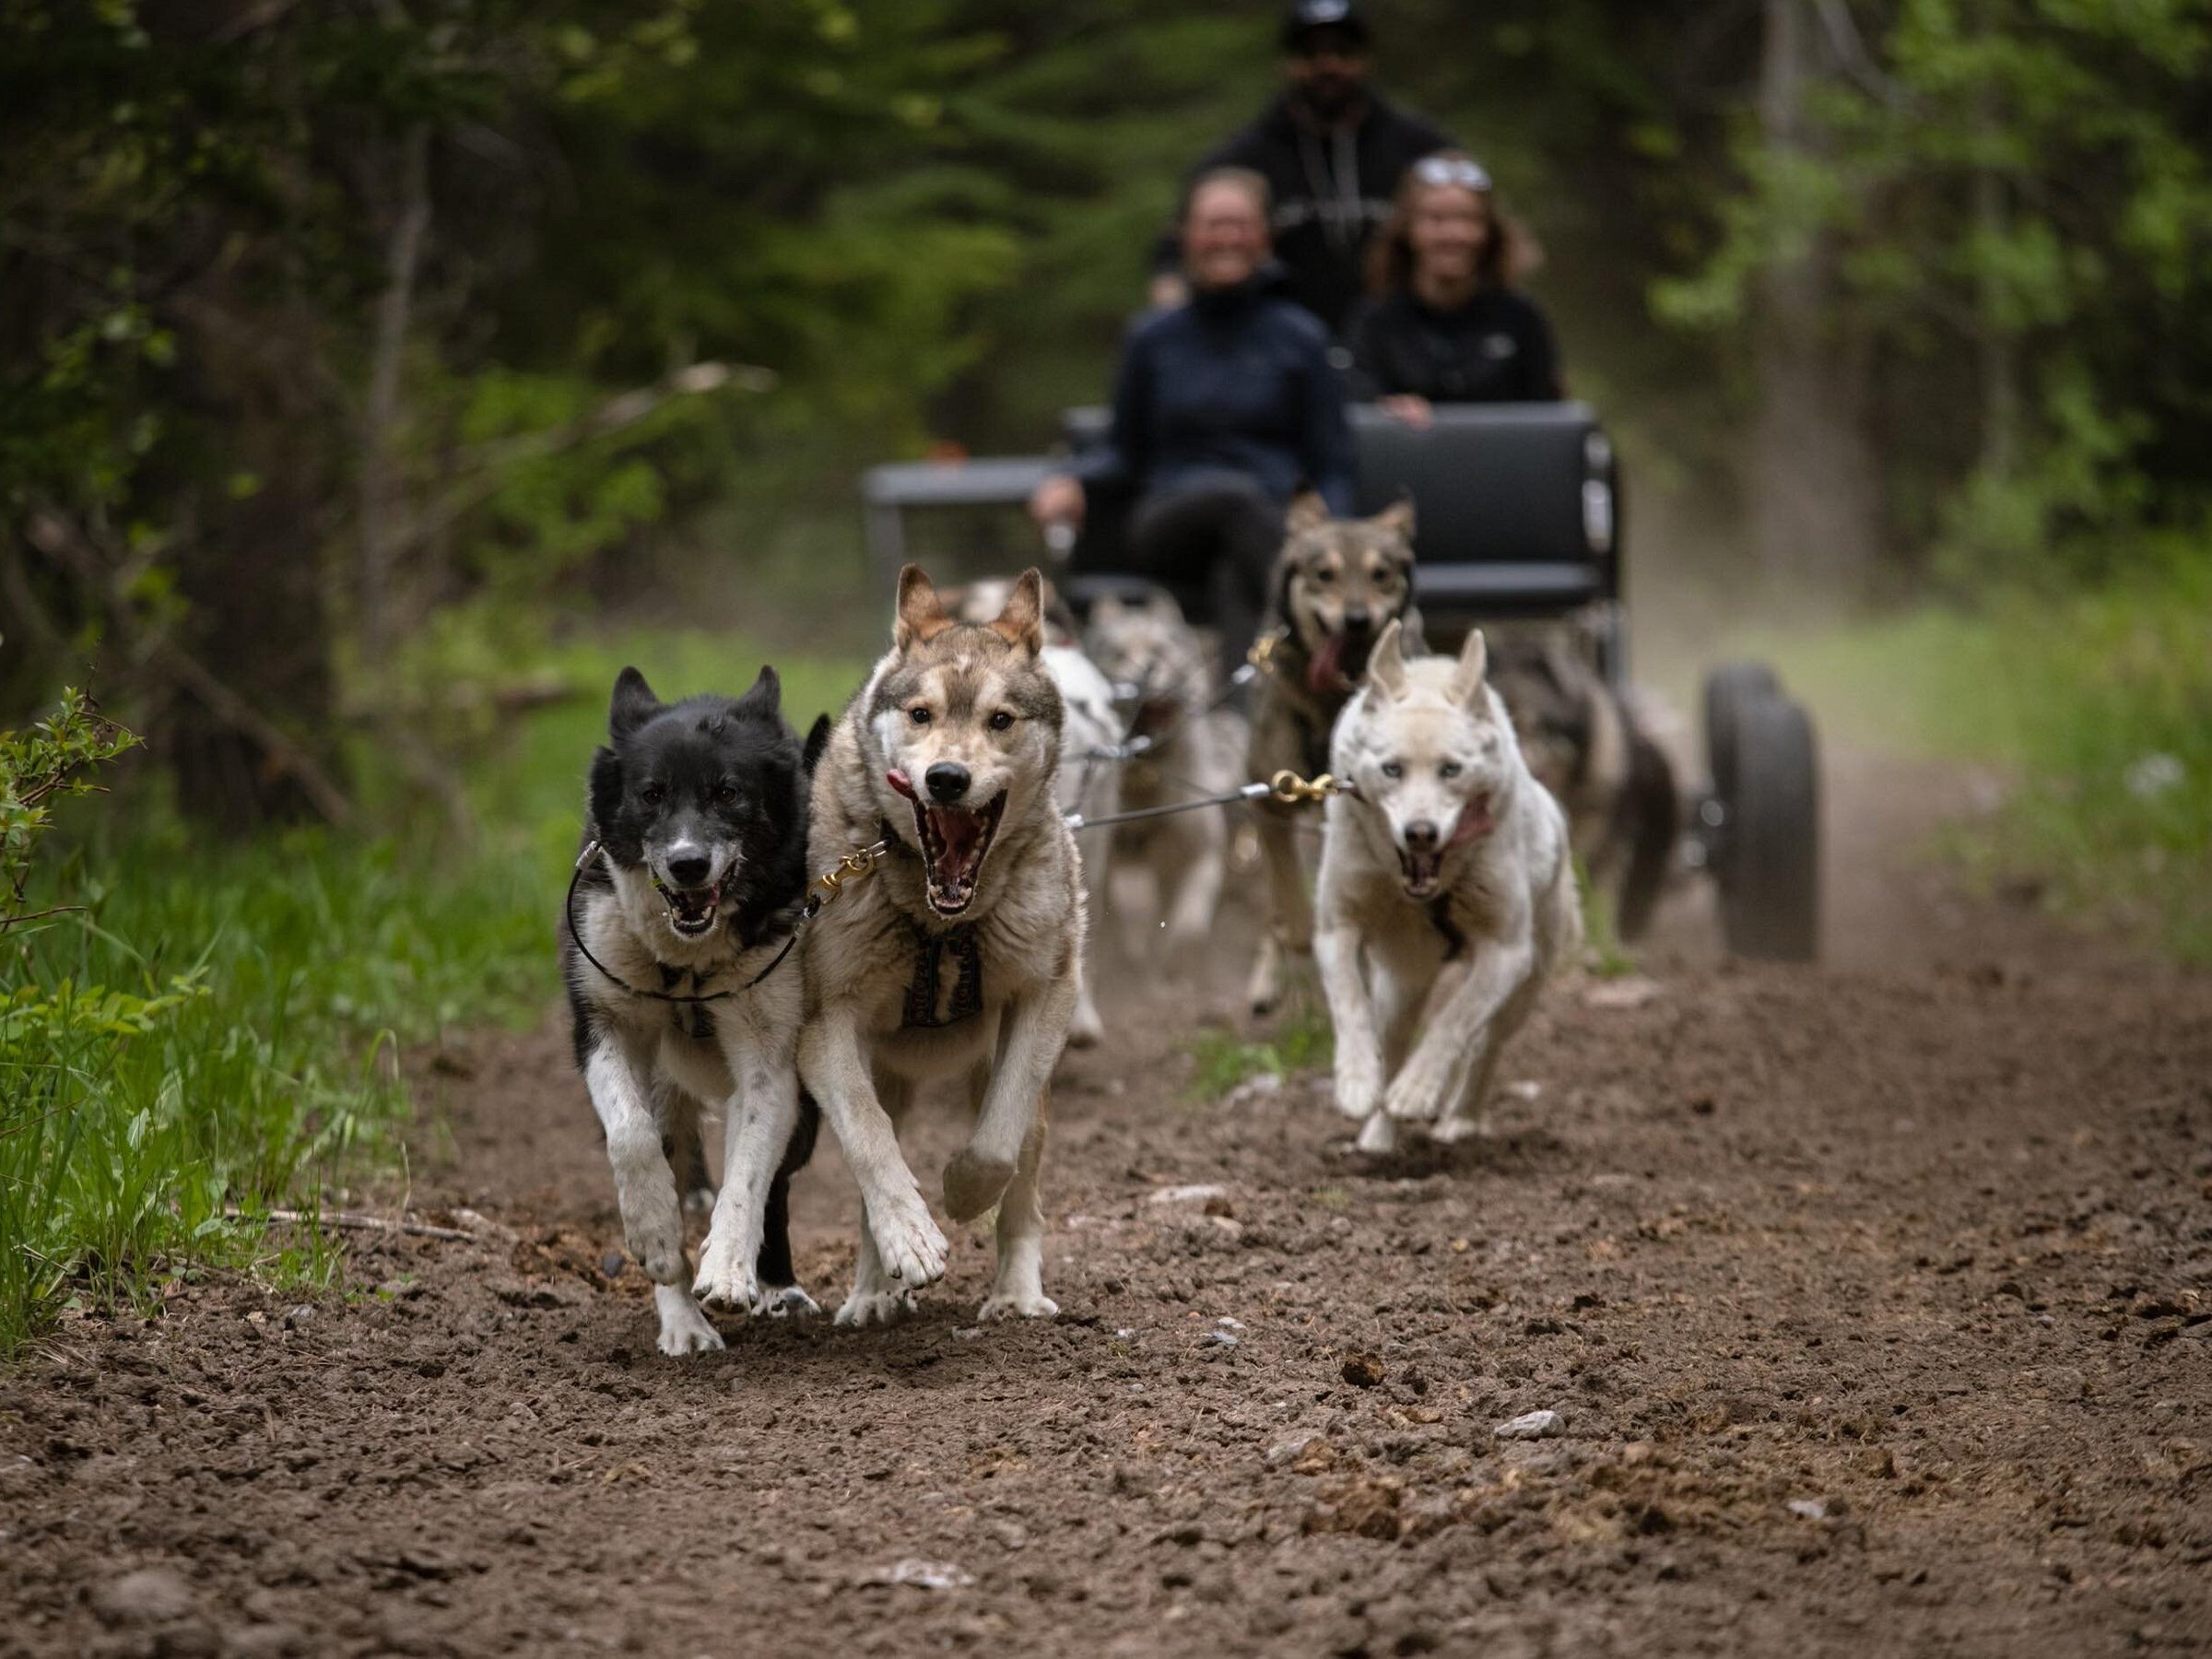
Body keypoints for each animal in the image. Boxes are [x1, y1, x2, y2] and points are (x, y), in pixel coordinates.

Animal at [561, 667, 822, 1353]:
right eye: (651, 794)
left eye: (728, 792)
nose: (686, 864)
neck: (687, 963)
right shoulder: (603, 1024)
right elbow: (631, 1135)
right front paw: (654, 1231)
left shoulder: (768, 1061)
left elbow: (749, 1173)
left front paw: (729, 1266)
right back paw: (683, 1323)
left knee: (774, 1181)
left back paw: (774, 1285)